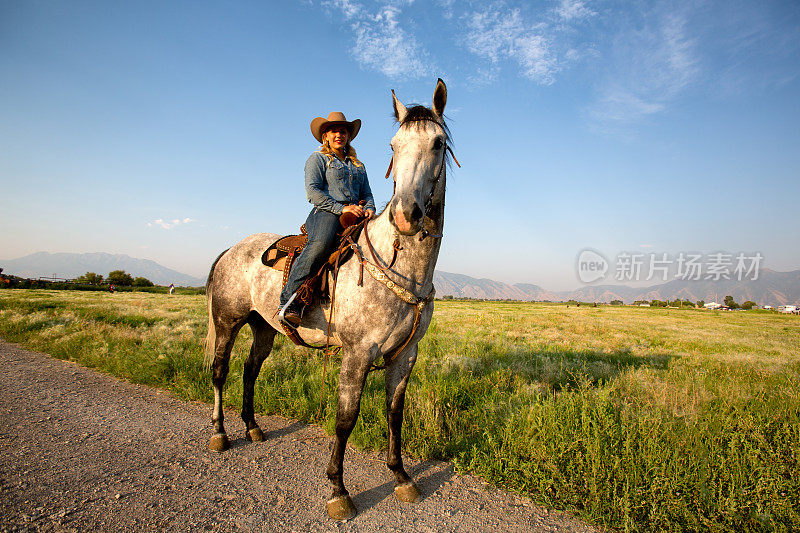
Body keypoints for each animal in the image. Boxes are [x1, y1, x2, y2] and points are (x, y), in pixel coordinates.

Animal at [203, 79, 454, 520]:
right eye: (394, 145)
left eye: (438, 143)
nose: (406, 214)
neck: (403, 267)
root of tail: (232, 249)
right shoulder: (357, 353)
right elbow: (345, 419)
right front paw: (338, 490)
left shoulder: (406, 355)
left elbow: (395, 414)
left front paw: (402, 477)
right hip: (228, 322)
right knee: (221, 372)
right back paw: (220, 434)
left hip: (263, 327)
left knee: (250, 371)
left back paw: (252, 427)